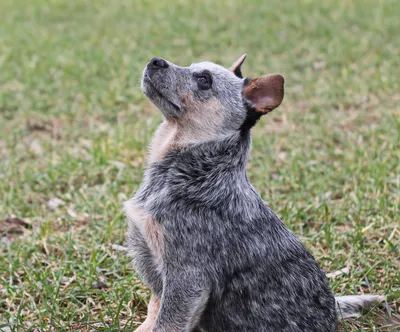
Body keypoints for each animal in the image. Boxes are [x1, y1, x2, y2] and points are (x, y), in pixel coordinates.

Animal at [124, 53, 384, 330]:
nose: (155, 60)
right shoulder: (155, 269)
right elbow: (153, 312)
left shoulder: (187, 277)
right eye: (190, 66)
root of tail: (334, 312)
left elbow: (166, 322)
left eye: (204, 80)